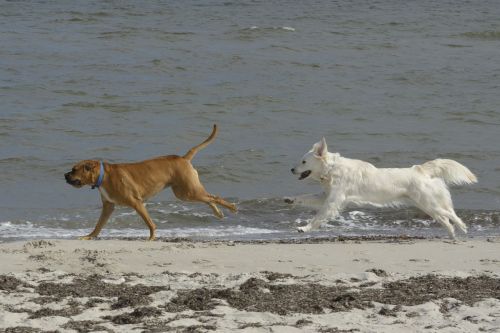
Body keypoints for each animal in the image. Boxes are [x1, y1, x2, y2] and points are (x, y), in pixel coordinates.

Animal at [64, 124, 236, 239]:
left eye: (74, 170)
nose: (65, 175)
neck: (103, 175)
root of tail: (183, 158)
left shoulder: (137, 203)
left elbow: (150, 223)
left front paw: (152, 238)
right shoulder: (108, 207)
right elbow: (98, 225)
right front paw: (89, 236)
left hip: (188, 191)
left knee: (214, 197)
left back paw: (232, 207)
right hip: (185, 193)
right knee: (209, 198)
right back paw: (218, 212)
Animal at [286, 137, 476, 239]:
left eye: (303, 162)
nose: (292, 169)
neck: (331, 169)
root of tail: (420, 169)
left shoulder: (333, 201)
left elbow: (318, 217)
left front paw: (305, 228)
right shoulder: (325, 196)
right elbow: (305, 197)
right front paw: (290, 199)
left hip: (429, 203)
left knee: (451, 214)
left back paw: (462, 228)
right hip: (426, 206)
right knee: (445, 219)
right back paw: (452, 236)